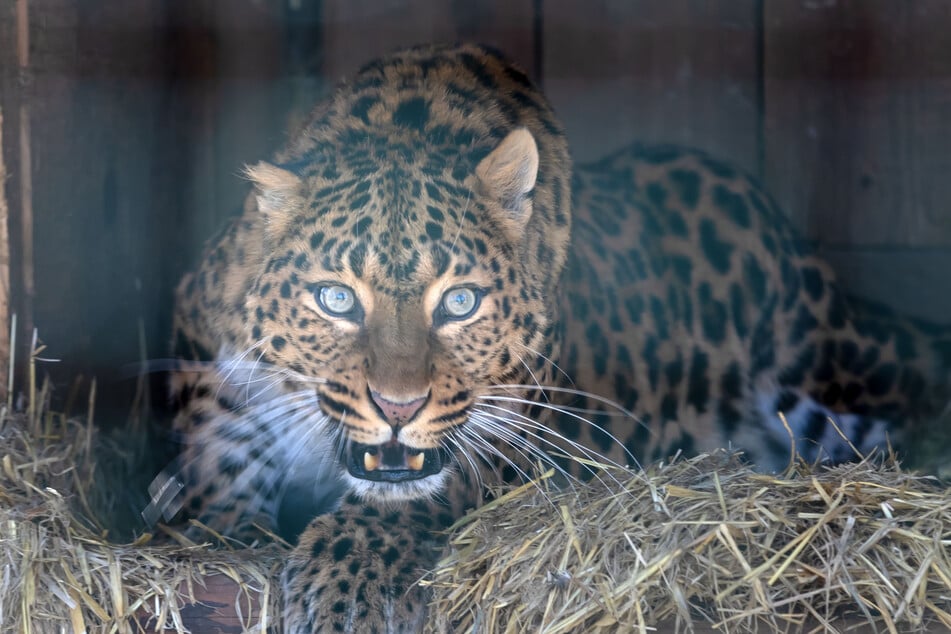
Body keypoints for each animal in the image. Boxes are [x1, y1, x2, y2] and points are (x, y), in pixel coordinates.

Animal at [164, 42, 951, 628]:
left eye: (459, 303)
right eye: (335, 299)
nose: (397, 407)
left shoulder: (520, 434)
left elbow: (420, 494)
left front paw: (347, 581)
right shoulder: (213, 365)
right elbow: (218, 480)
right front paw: (207, 526)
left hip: (827, 367)